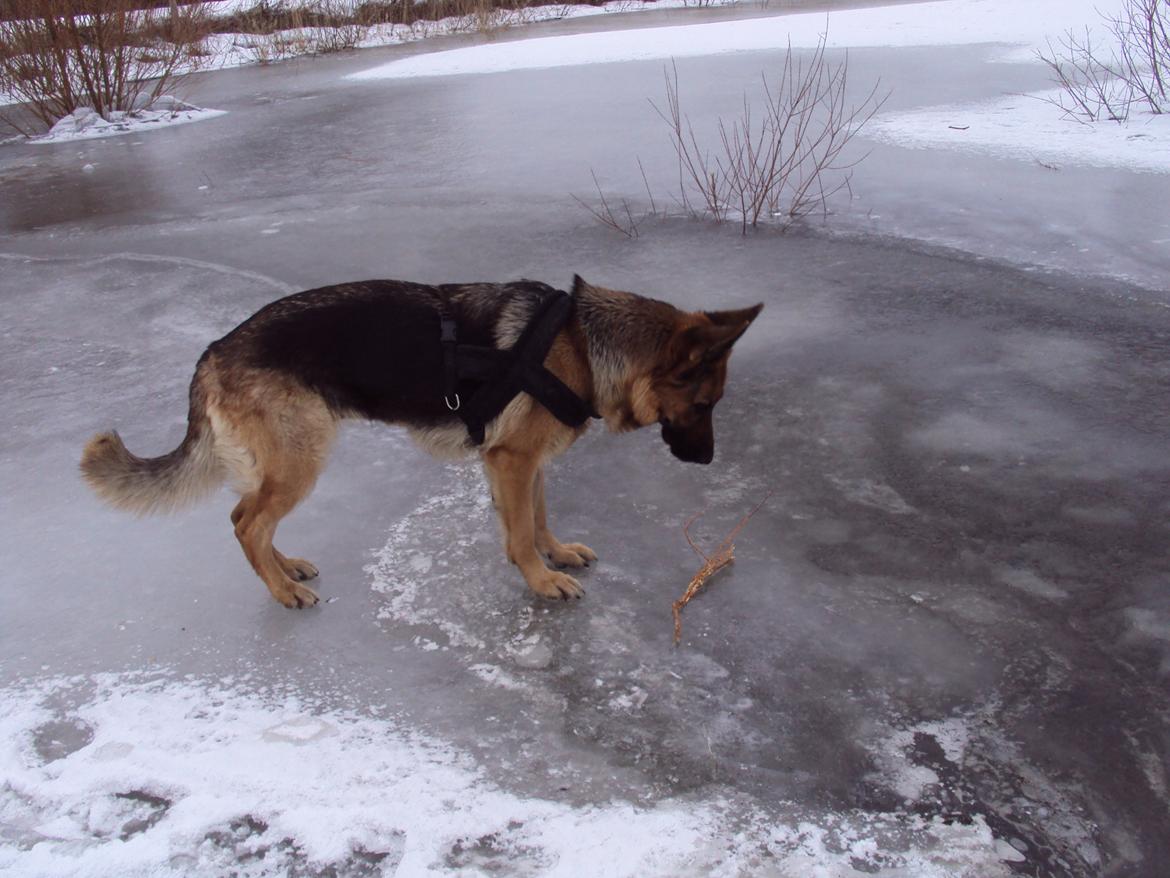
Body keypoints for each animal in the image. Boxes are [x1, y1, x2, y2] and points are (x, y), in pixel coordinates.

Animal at [77, 278, 762, 608]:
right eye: (705, 405)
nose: (707, 459)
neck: (583, 344)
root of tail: (214, 349)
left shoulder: (525, 462)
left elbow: (539, 517)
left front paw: (556, 554)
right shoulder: (512, 461)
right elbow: (519, 532)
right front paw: (540, 582)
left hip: (283, 462)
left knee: (248, 517)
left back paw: (286, 565)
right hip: (302, 459)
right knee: (247, 522)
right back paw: (283, 590)